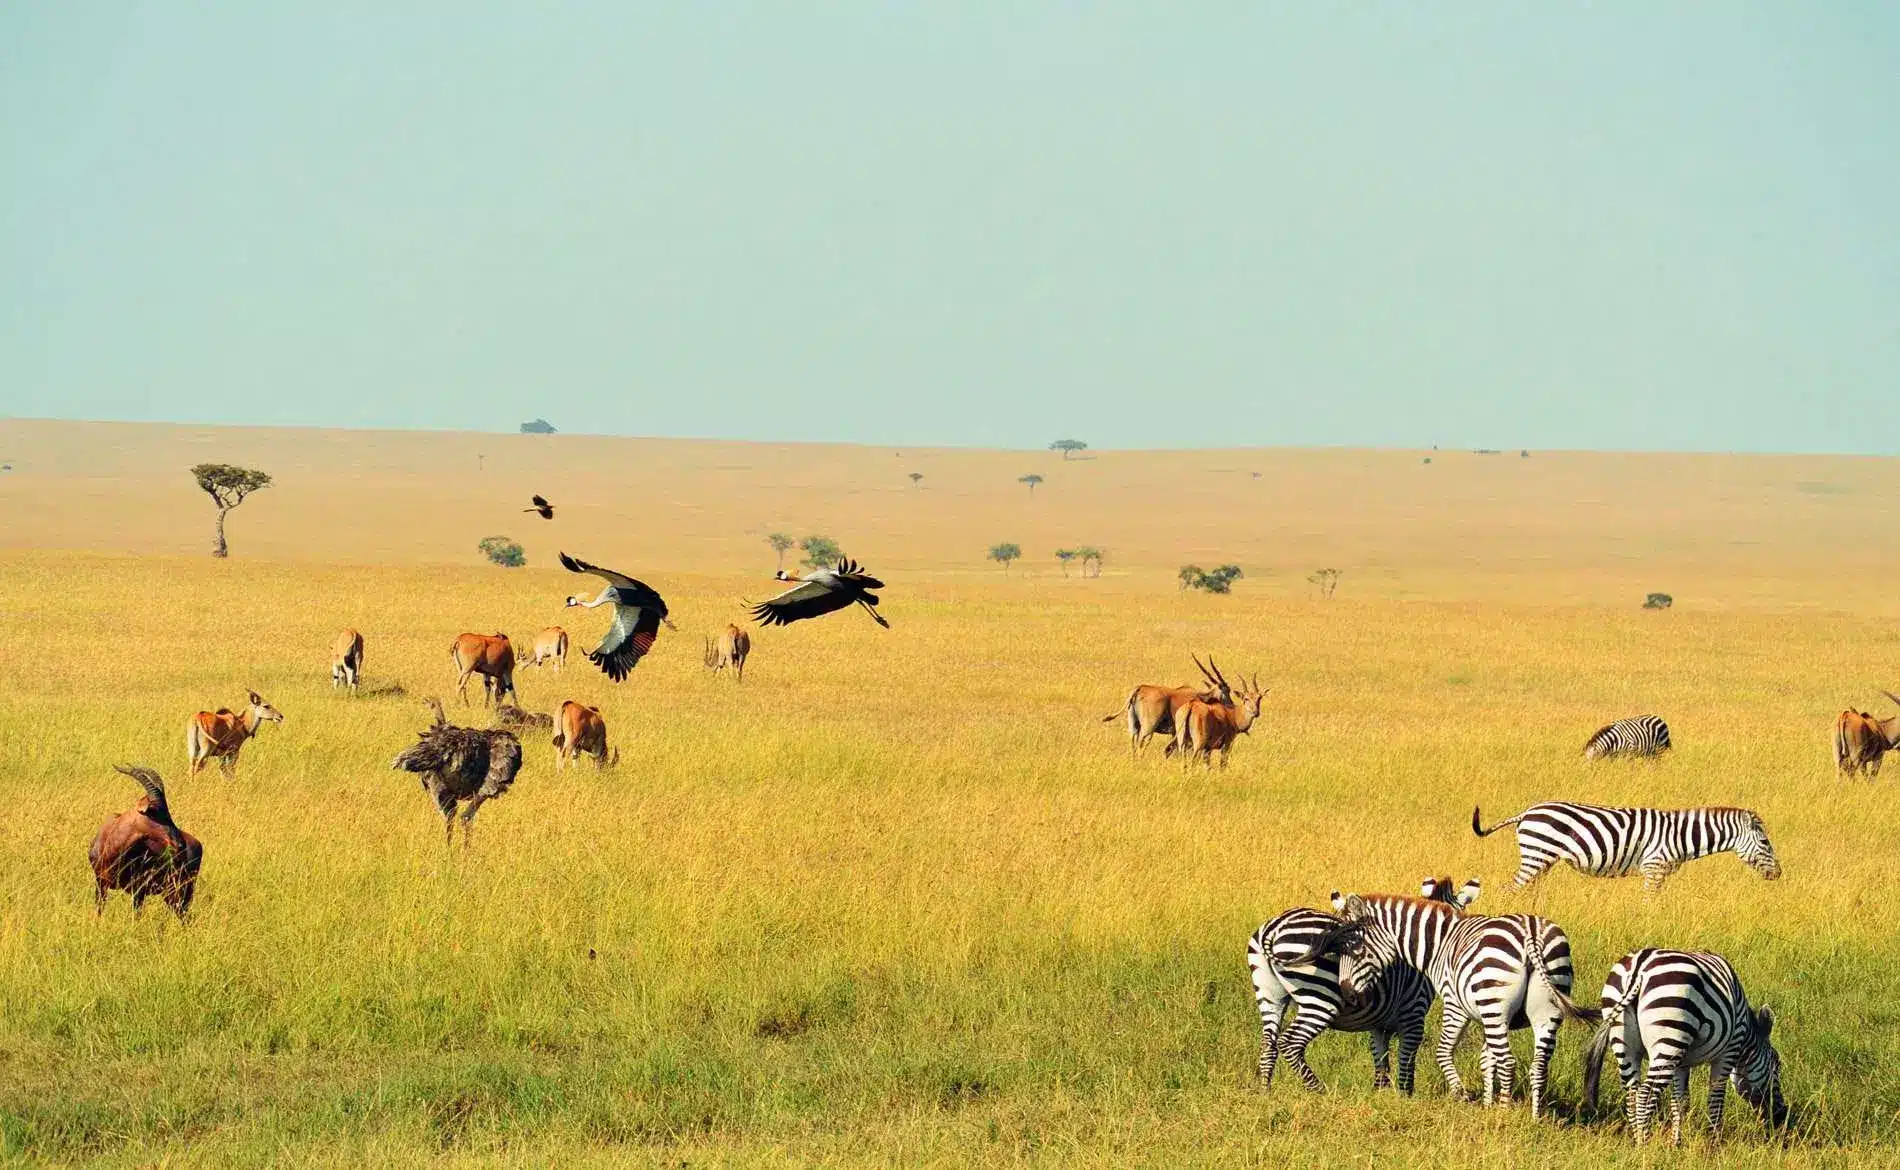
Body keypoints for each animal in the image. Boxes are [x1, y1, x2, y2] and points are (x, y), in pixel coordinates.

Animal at [1103, 654, 1233, 757]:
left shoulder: (1174, 733)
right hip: (1148, 728)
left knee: (1133, 743)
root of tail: (1140, 688)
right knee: (1141, 743)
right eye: (1227, 691)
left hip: (1134, 726)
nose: (1231, 705)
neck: (1202, 698)